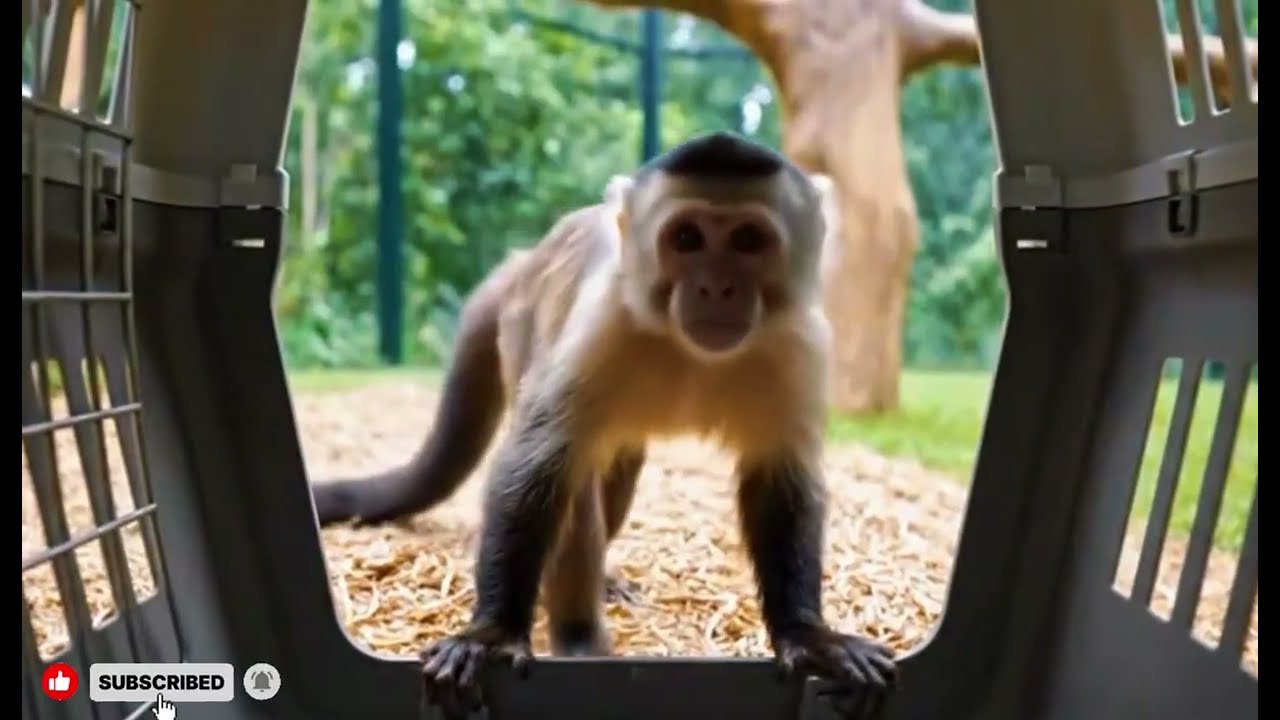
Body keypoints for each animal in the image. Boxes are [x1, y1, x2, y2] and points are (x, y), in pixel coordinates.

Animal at [391, 132, 896, 720]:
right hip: (522, 324)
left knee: (620, 467)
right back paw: (579, 638)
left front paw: (808, 637)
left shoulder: (799, 342)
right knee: (575, 482)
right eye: (687, 238)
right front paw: (492, 633)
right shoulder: (604, 320)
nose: (716, 288)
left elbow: (781, 482)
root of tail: (526, 258)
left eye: (748, 240)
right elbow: (539, 464)